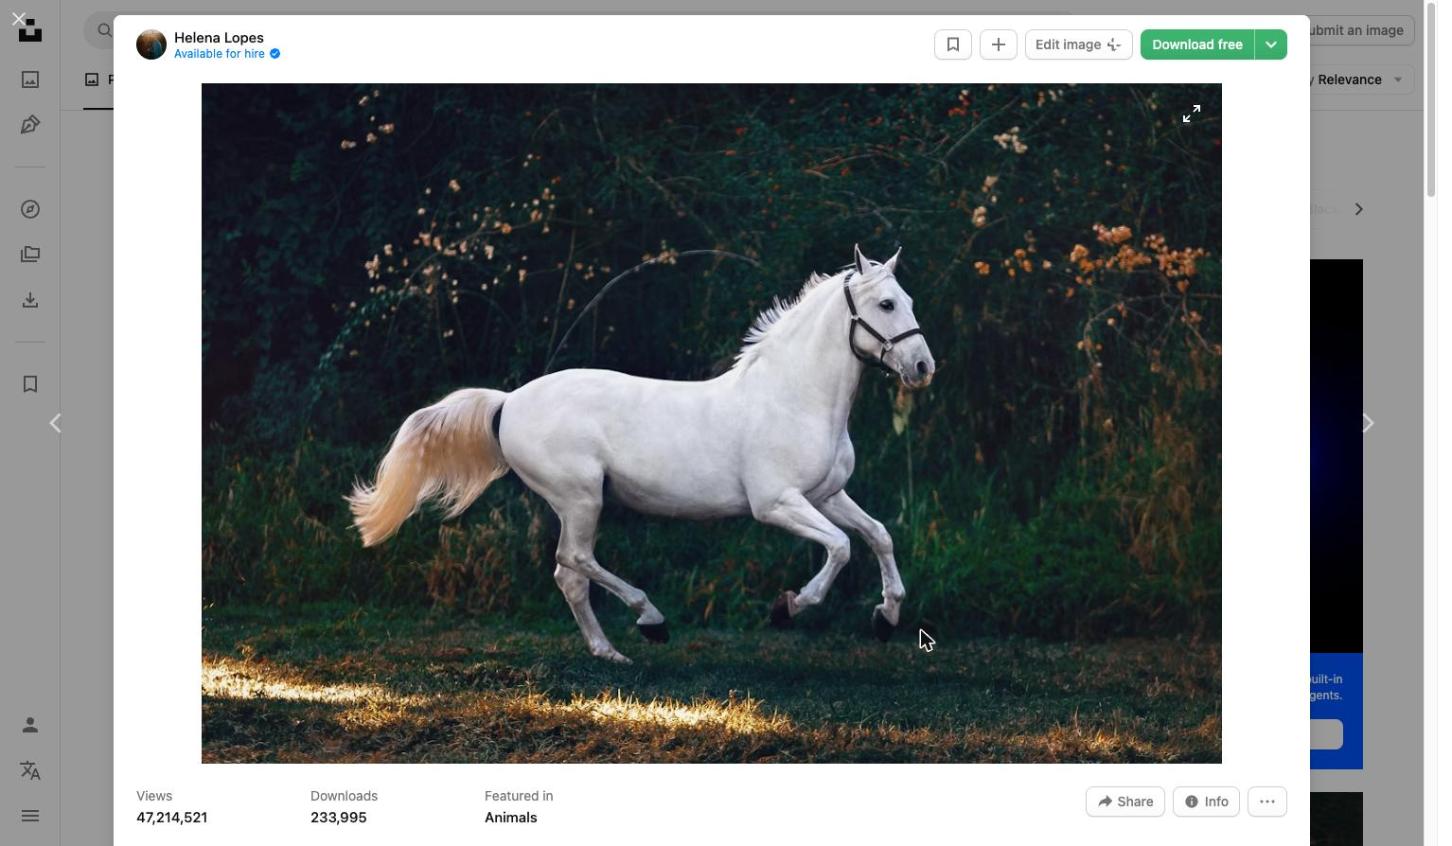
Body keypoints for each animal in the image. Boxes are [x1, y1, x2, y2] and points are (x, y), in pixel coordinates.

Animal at [347, 245, 936, 662]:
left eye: (909, 302)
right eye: (886, 304)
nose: (923, 367)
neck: (794, 397)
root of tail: (508, 401)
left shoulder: (827, 494)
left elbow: (878, 535)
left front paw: (886, 617)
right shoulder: (777, 504)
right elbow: (840, 547)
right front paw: (788, 607)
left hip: (580, 503)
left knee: (568, 575)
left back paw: (610, 652)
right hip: (581, 498)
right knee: (575, 561)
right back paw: (650, 620)